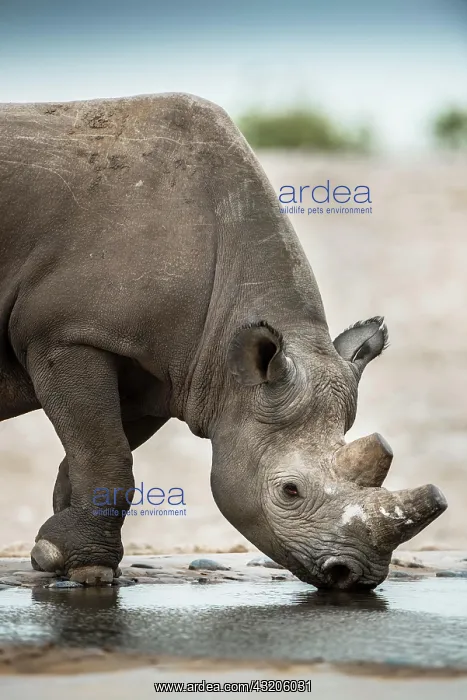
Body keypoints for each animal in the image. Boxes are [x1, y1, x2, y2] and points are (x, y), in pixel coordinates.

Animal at [0, 93, 446, 589]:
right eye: (289, 491)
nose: (354, 575)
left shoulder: (161, 370)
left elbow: (95, 454)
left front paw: (56, 552)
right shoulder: (68, 334)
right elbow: (107, 455)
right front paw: (87, 568)